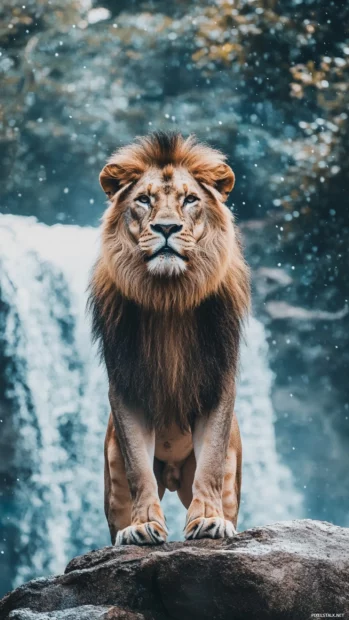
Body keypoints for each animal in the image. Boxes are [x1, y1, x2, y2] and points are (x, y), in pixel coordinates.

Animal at [88, 131, 249, 544]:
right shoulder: (126, 386)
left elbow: (210, 463)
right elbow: (139, 470)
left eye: (190, 199)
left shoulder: (218, 380)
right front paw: (143, 525)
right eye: (144, 200)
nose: (166, 228)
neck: (169, 298)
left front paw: (209, 520)